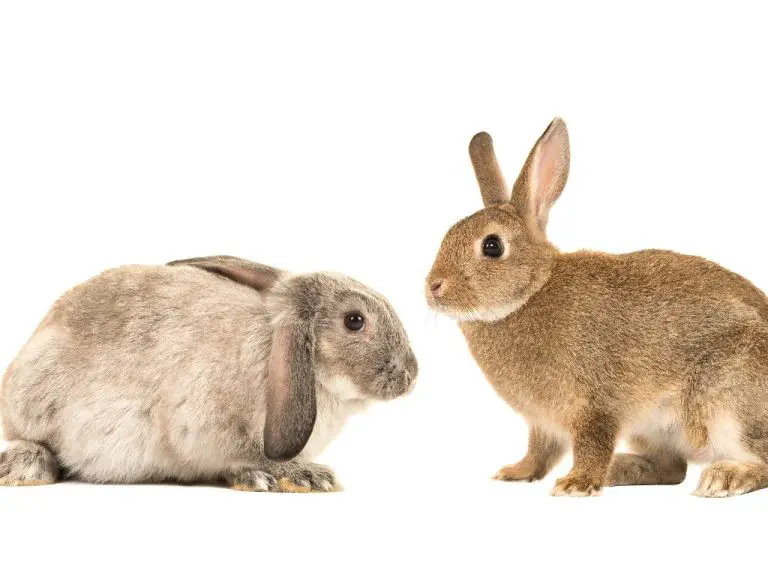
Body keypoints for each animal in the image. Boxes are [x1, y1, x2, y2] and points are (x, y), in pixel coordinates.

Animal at [0, 255, 417, 492]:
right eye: (354, 321)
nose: (412, 375)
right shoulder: (207, 424)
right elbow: (244, 458)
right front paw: (298, 477)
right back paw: (25, 468)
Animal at [426, 118, 768, 498]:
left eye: (491, 246)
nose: (433, 287)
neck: (531, 293)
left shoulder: (594, 407)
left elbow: (591, 444)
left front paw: (576, 484)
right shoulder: (542, 423)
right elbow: (539, 451)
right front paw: (516, 472)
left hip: (729, 405)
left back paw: (723, 478)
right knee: (672, 469)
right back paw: (621, 468)